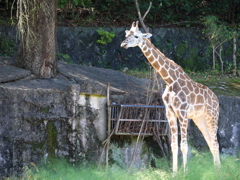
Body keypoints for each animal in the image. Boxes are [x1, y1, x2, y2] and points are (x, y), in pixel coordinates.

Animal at [121, 21, 220, 172]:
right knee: (210, 143)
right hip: (200, 119)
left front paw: (185, 172)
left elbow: (184, 146)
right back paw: (216, 171)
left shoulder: (183, 113)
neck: (170, 80)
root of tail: (217, 99)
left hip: (212, 116)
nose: (123, 44)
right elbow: (174, 146)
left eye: (137, 36)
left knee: (215, 143)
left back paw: (219, 171)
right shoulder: (170, 112)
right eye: (127, 34)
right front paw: (175, 173)